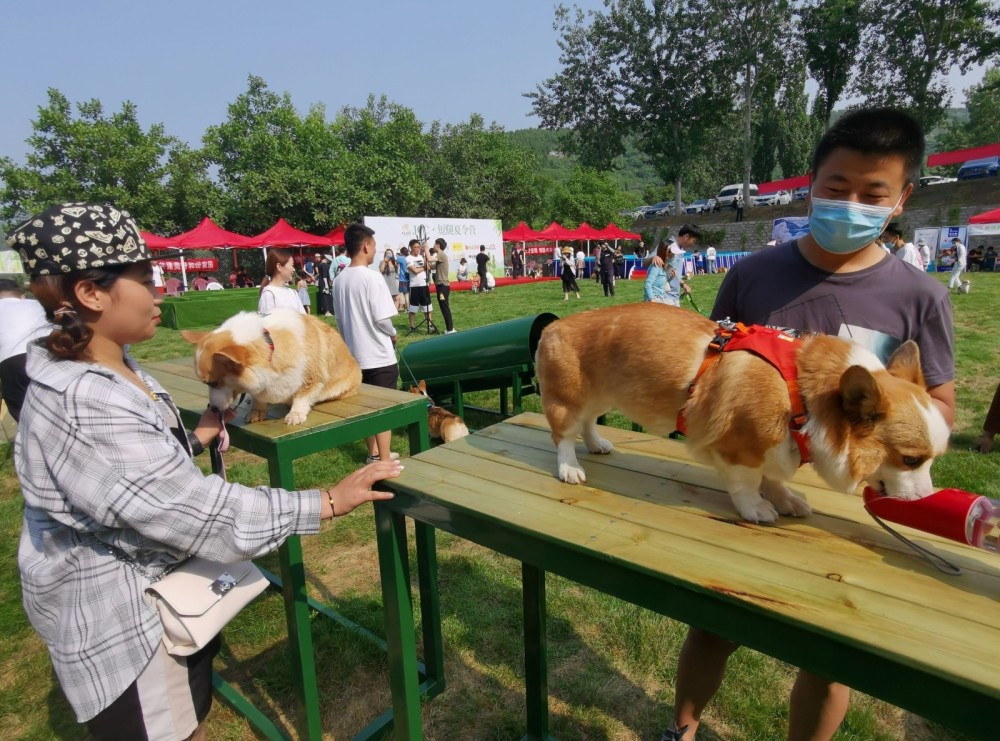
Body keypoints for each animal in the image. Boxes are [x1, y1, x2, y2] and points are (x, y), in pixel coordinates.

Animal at [182, 310, 362, 424]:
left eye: (212, 383)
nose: (211, 408)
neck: (269, 345)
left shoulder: (312, 378)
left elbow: (302, 397)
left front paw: (295, 415)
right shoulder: (262, 383)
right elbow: (259, 397)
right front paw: (255, 411)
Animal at [536, 304, 948, 524]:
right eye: (911, 460)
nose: (926, 499)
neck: (801, 393)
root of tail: (554, 325)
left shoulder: (778, 447)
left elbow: (775, 476)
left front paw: (787, 500)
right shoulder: (739, 450)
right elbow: (749, 483)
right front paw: (758, 508)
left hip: (601, 397)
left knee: (588, 423)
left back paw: (597, 444)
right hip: (568, 399)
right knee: (563, 435)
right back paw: (570, 468)